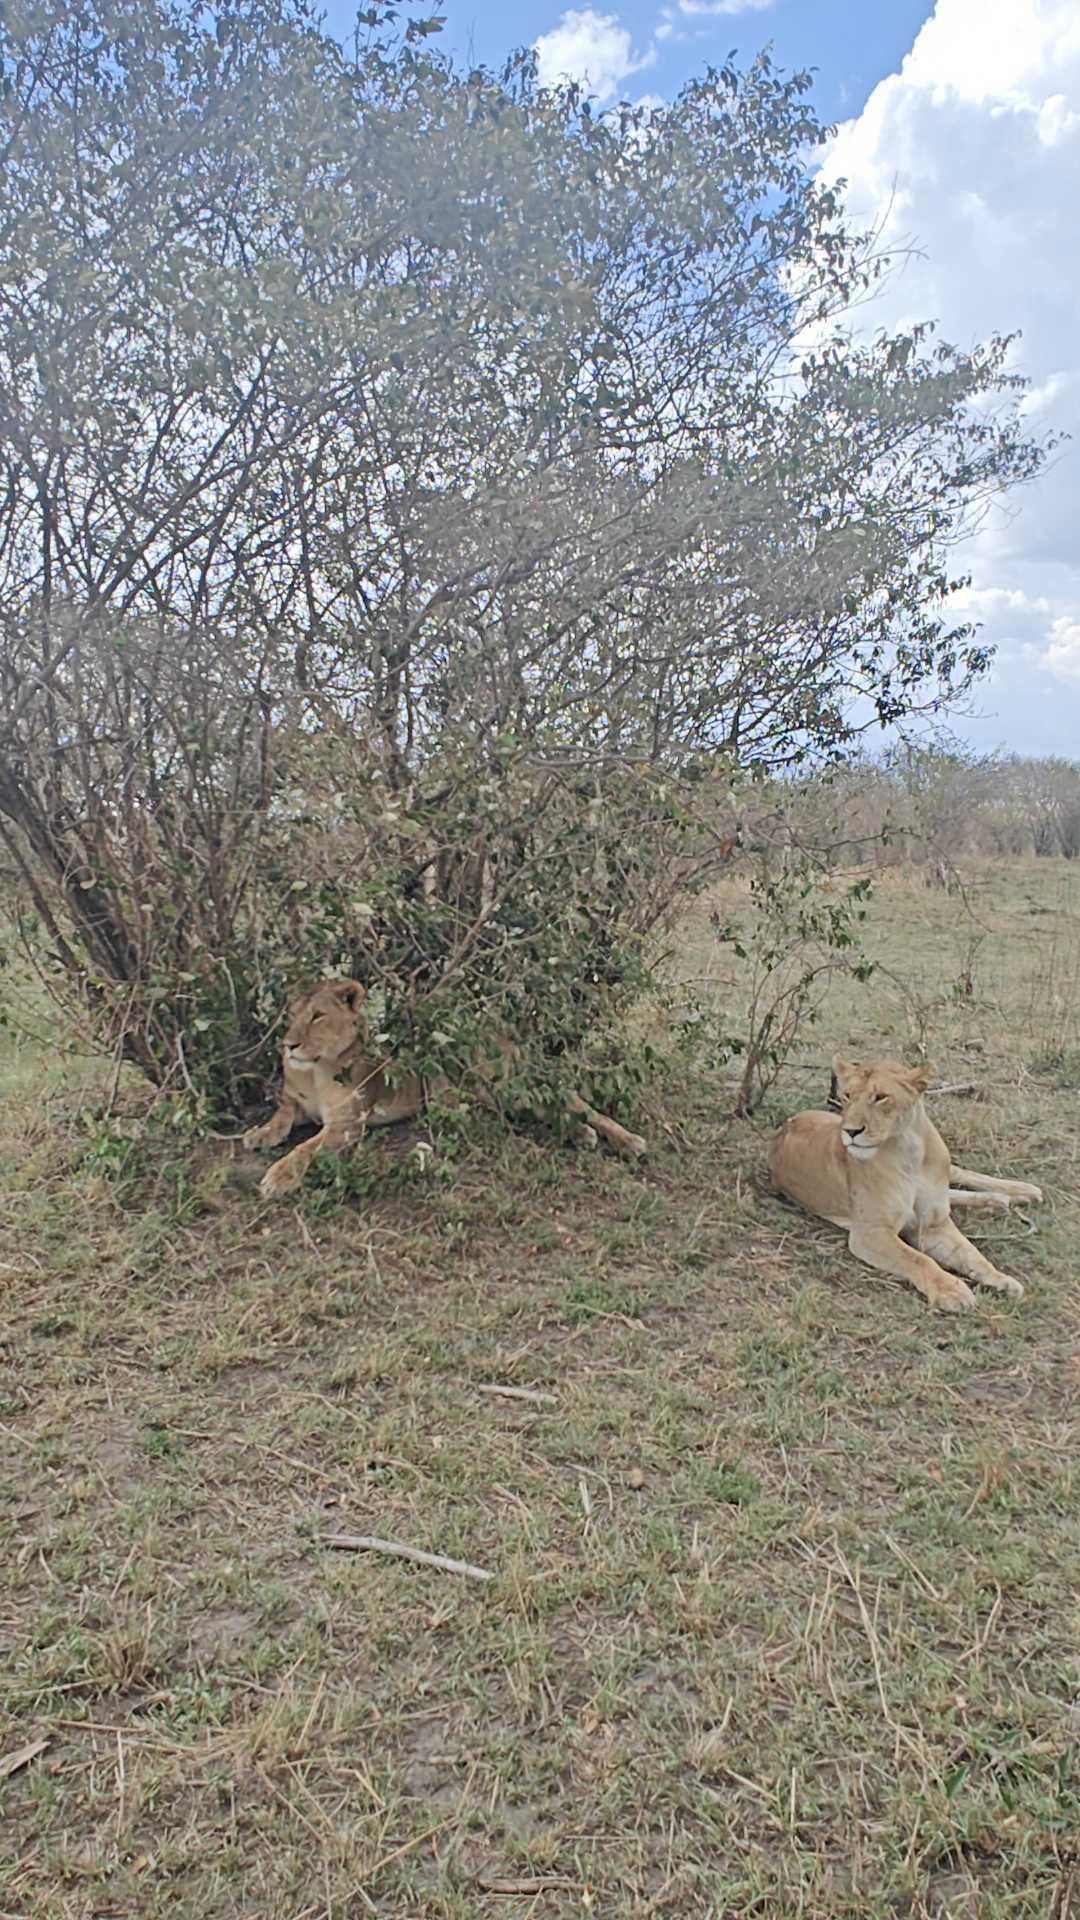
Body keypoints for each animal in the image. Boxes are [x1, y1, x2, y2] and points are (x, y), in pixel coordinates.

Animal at [244, 983, 641, 1190]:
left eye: (317, 1016)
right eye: (292, 1016)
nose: (288, 1045)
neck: (313, 1070)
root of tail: (504, 1035)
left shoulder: (348, 1124)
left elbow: (305, 1150)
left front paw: (278, 1176)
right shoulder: (294, 1104)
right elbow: (281, 1117)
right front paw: (258, 1134)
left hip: (496, 1083)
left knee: (578, 1107)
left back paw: (627, 1140)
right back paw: (583, 1135)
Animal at [760, 1059, 1037, 1313]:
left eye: (881, 1097)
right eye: (847, 1095)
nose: (850, 1131)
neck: (909, 1153)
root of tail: (785, 1126)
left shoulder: (934, 1225)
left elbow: (973, 1254)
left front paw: (1003, 1280)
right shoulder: (870, 1233)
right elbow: (918, 1259)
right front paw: (951, 1290)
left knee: (958, 1173)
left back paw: (1023, 1191)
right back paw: (999, 1200)